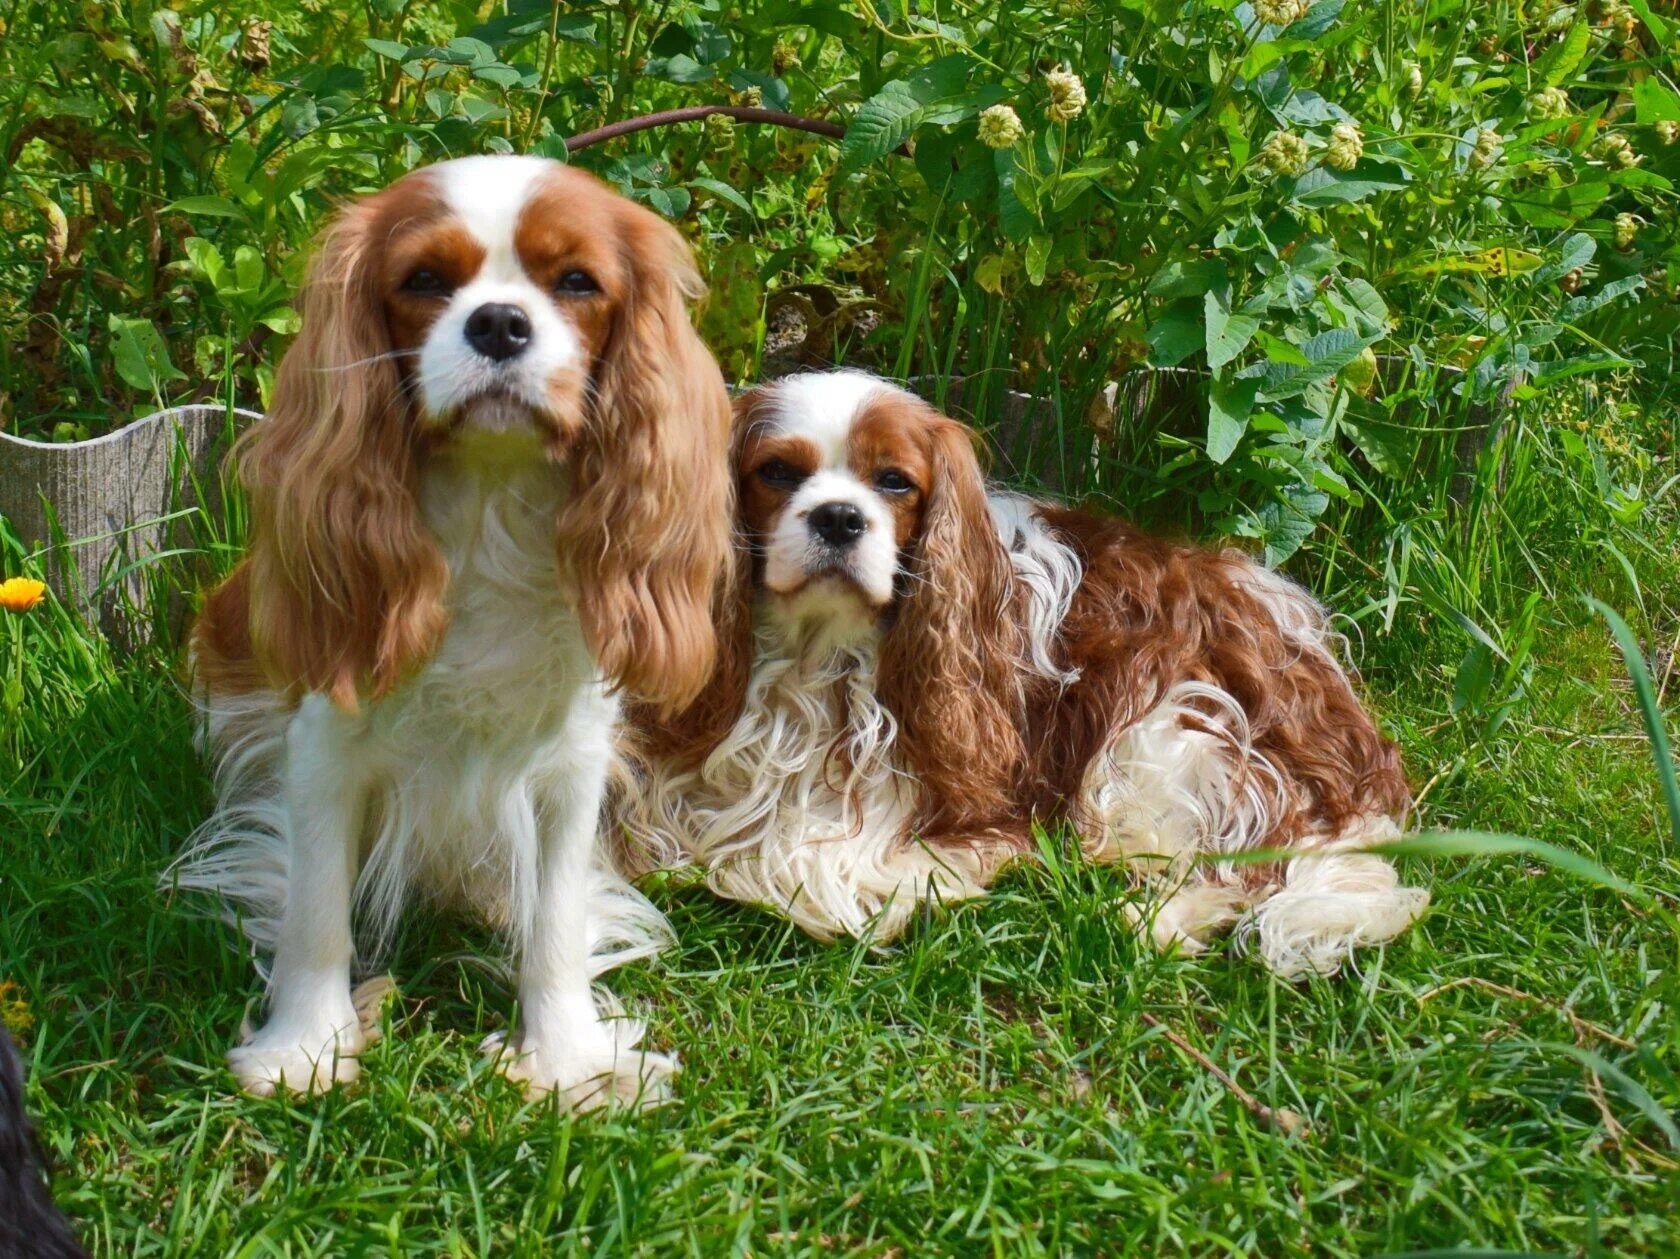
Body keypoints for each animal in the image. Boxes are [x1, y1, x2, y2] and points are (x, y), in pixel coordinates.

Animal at [621, 368, 1431, 974]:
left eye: (895, 482)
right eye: (777, 472)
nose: (840, 518)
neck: (813, 655)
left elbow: (791, 866)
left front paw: (933, 878)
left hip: (1167, 730)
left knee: (1254, 857)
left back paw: (1161, 918)